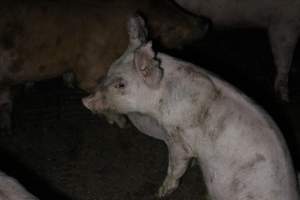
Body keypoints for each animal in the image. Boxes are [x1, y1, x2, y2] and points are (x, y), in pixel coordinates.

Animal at [0, 0, 205, 134]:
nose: (206, 23)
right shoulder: (92, 61)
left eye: (175, 5)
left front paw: (68, 82)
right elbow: (91, 85)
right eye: (170, 28)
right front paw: (124, 124)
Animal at [82, 14, 300, 199]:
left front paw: (160, 193)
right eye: (110, 70)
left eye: (121, 85)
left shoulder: (180, 137)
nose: (85, 101)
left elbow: (176, 166)